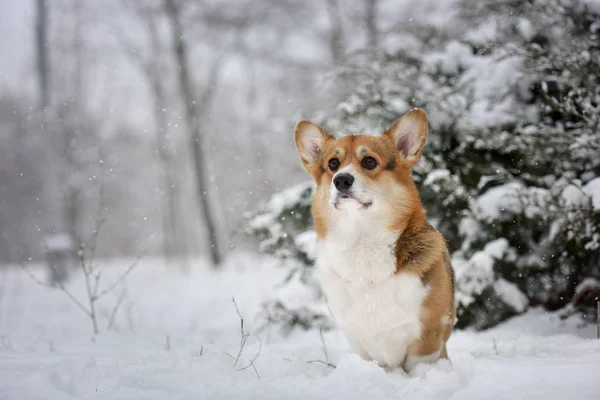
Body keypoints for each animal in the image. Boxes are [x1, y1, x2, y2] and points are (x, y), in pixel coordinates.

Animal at [294, 108, 454, 370]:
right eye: (332, 164)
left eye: (369, 161)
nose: (341, 180)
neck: (362, 239)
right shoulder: (359, 341)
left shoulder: (426, 339)